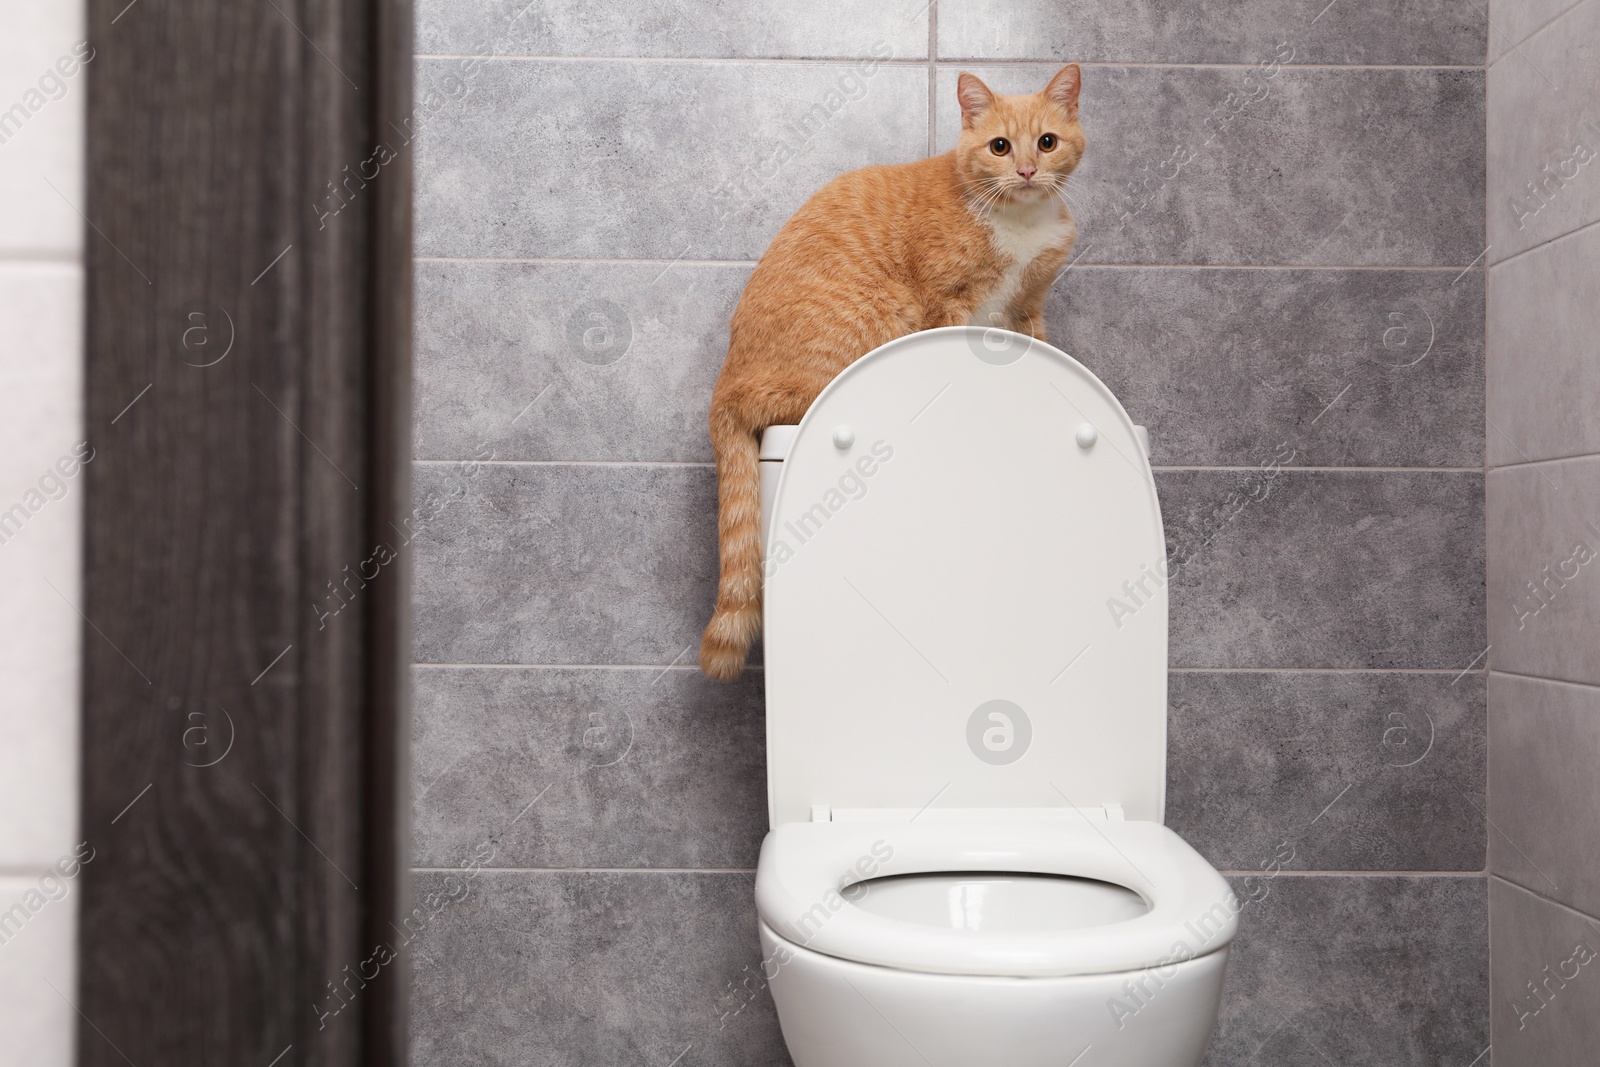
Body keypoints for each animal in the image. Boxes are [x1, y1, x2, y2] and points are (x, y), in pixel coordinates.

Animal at [694, 66, 1081, 681]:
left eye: (1047, 143)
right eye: (1000, 146)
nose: (1025, 171)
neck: (1017, 221)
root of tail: (723, 389)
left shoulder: (1026, 310)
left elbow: (1038, 350)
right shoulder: (947, 304)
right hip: (869, 327)